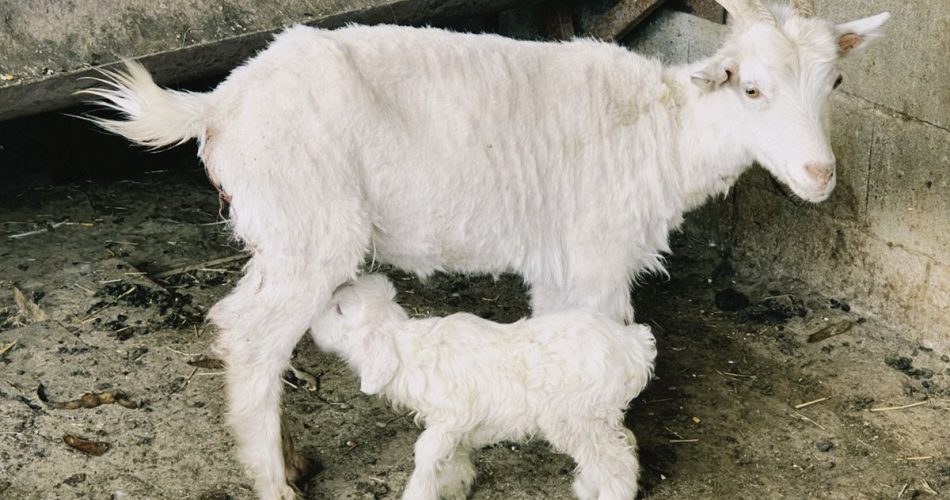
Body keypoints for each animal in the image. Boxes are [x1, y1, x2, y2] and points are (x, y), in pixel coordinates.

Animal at [311, 274, 656, 500]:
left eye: (339, 310)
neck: (407, 351)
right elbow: (452, 456)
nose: (311, 323)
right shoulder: (459, 423)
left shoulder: (450, 416)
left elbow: (426, 454)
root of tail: (634, 346)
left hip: (575, 418)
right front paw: (455, 487)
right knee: (623, 442)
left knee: (617, 461)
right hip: (598, 415)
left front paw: (421, 492)